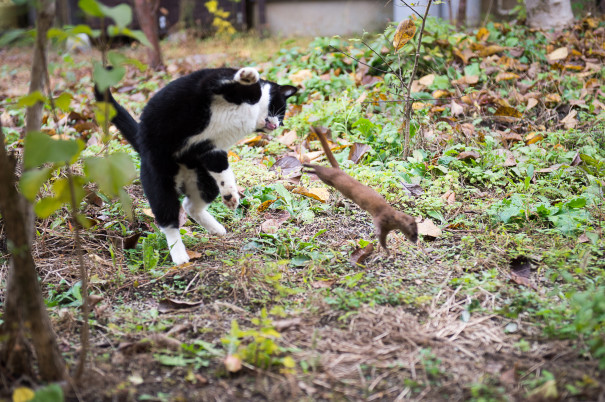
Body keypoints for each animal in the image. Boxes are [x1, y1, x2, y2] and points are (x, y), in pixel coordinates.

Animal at [94, 67, 298, 266]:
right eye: (281, 109)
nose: (278, 125)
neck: (251, 113)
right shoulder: (208, 84)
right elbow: (246, 87)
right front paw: (249, 75)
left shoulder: (211, 149)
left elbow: (223, 170)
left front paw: (231, 194)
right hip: (159, 180)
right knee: (168, 220)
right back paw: (179, 255)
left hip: (204, 180)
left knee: (190, 205)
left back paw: (216, 227)